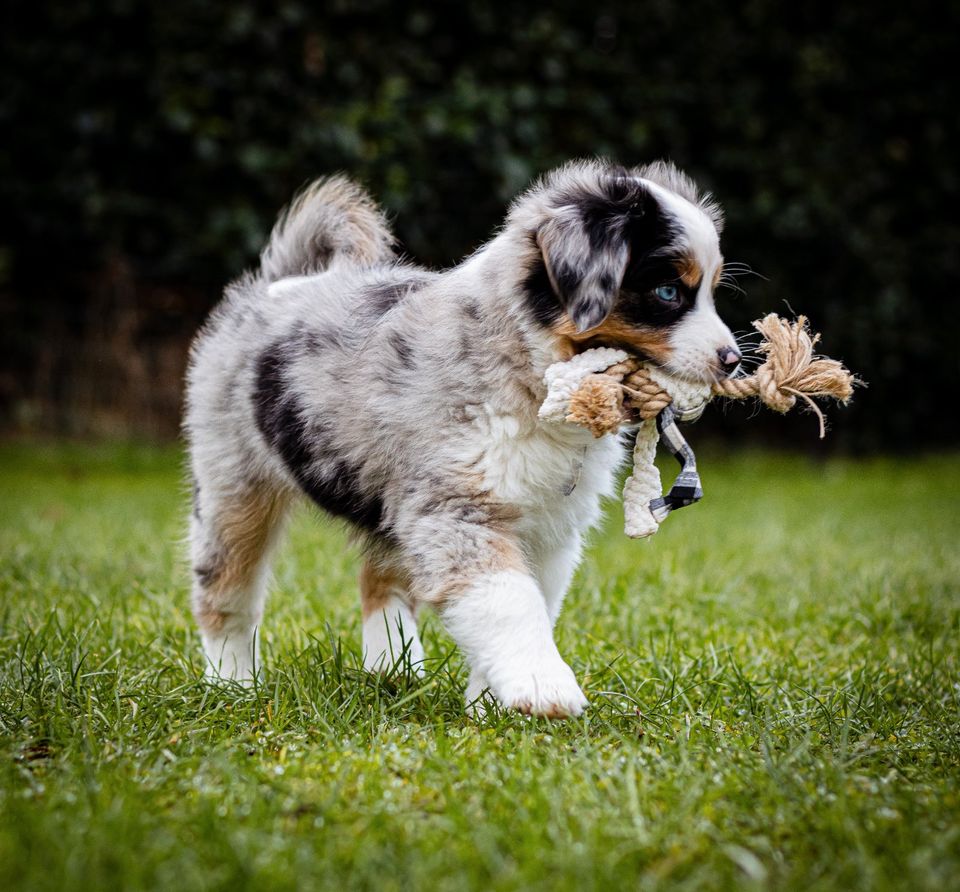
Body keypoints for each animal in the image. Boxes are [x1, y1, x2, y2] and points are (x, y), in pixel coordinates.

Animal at [188, 159, 744, 716]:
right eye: (668, 292)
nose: (734, 361)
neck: (532, 377)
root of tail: (281, 282)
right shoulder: (457, 510)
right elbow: (511, 602)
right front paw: (544, 689)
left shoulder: (550, 528)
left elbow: (530, 603)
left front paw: (491, 710)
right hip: (233, 483)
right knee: (225, 593)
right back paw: (233, 686)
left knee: (379, 578)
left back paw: (393, 669)